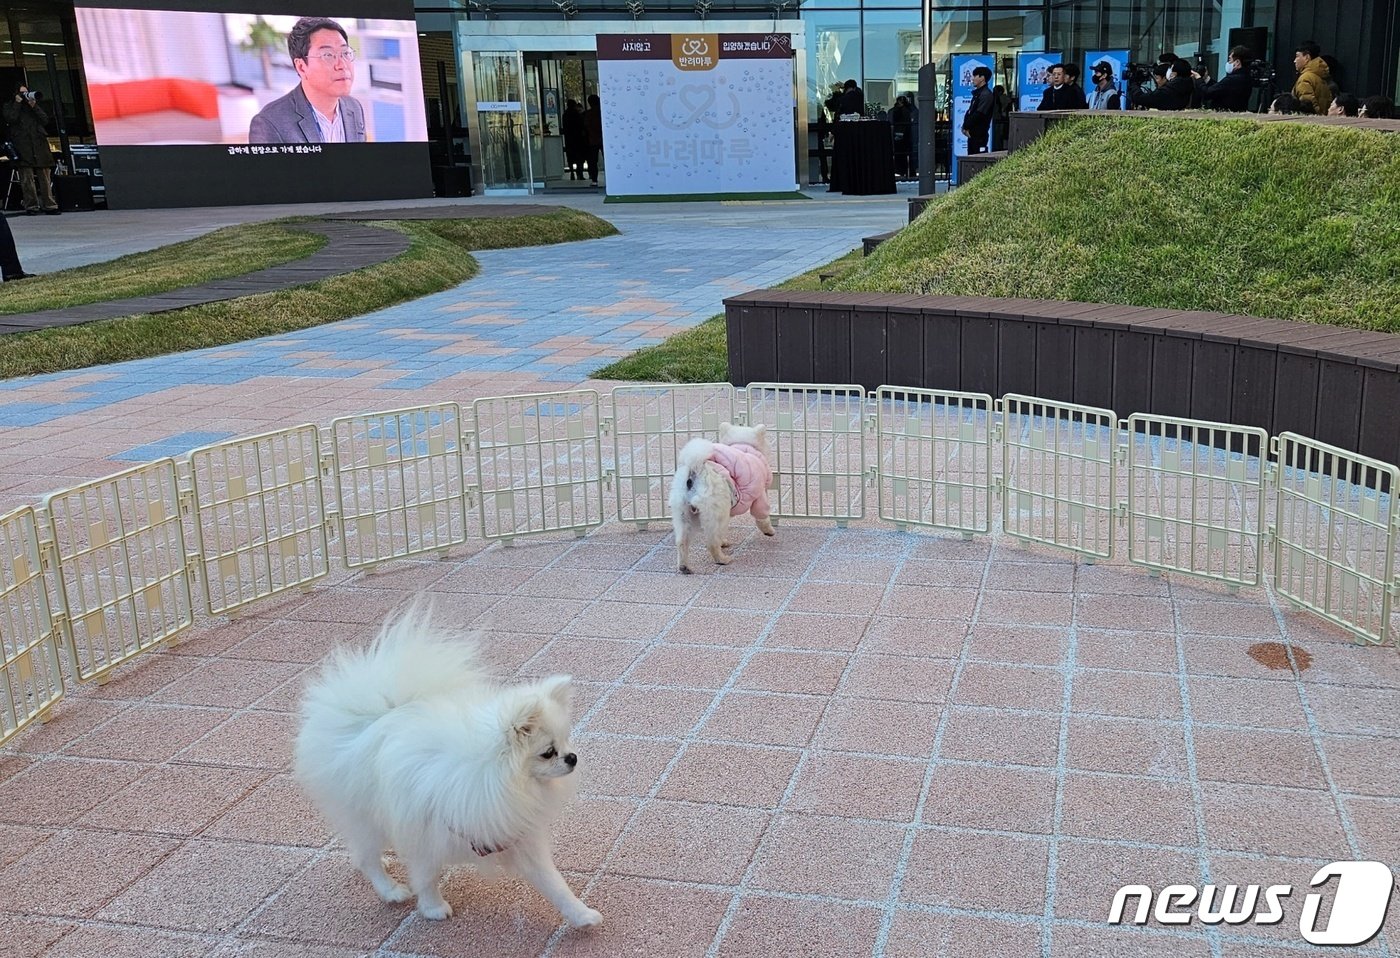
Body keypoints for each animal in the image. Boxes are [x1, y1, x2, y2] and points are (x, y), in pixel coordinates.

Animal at [295, 605, 602, 929]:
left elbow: (554, 883)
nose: (572, 757)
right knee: (367, 856)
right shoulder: (426, 833)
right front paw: (433, 907)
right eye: (548, 753)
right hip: (365, 815)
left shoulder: (513, 834)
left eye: (567, 741)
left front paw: (581, 915)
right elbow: (426, 876)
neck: (492, 777)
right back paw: (390, 890)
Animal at [666, 420, 778, 568]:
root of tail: (696, 469)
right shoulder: (759, 495)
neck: (742, 444)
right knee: (711, 542)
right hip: (715, 514)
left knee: (682, 541)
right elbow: (762, 516)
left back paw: (684, 566)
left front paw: (723, 541)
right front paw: (769, 530)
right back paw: (722, 559)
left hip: (683, 514)